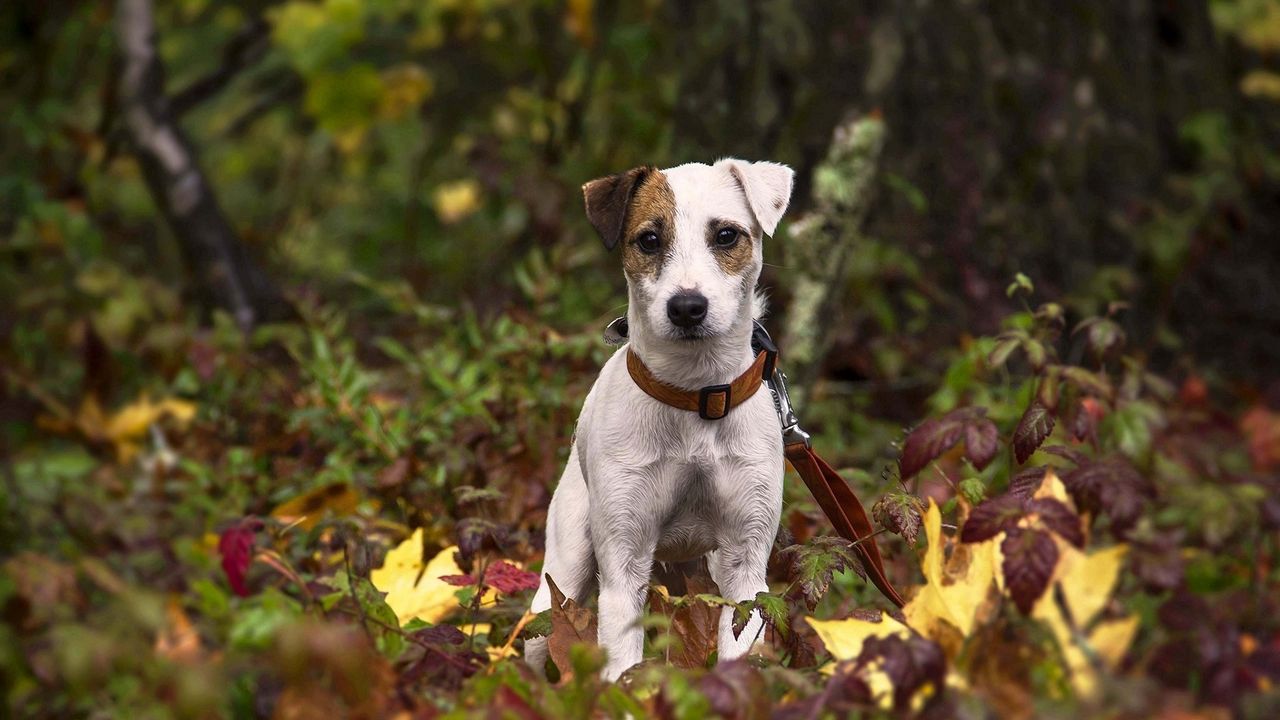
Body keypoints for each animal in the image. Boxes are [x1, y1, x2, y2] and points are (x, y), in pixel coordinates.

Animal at [524, 156, 793, 676]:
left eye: (726, 235)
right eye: (649, 239)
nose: (687, 306)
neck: (695, 396)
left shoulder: (746, 563)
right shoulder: (623, 562)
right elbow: (622, 660)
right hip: (563, 572)